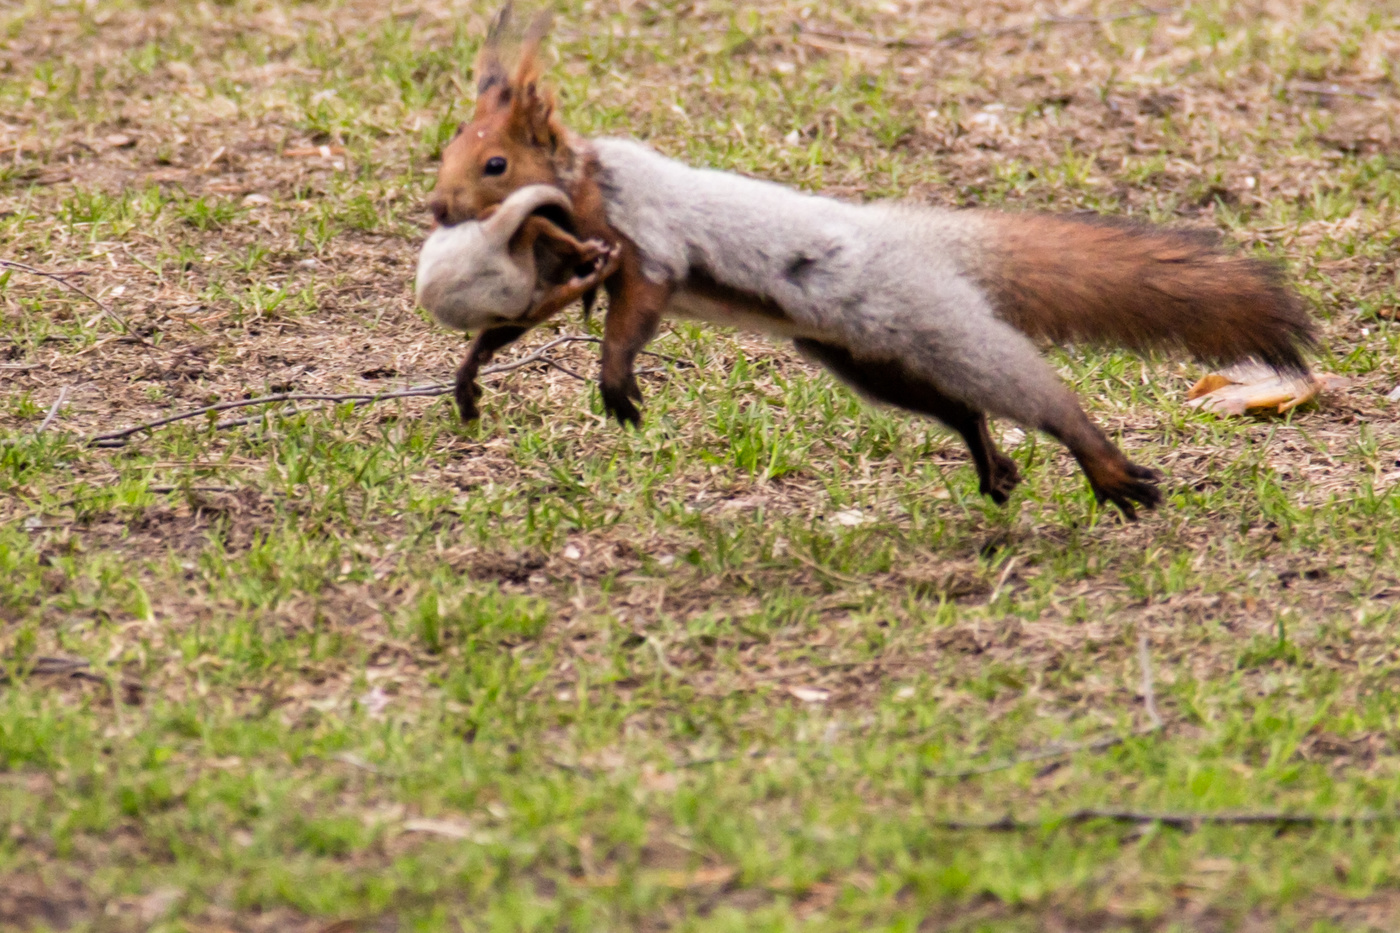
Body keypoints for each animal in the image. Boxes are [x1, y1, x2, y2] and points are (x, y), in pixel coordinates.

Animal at [414, 7, 1310, 515]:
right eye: (450, 148)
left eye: (495, 164)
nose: (440, 208)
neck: (578, 194)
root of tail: (917, 241)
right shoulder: (560, 265)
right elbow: (519, 323)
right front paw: (469, 377)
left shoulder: (649, 237)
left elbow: (641, 303)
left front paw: (615, 381)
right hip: (863, 360)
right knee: (957, 409)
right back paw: (994, 466)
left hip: (928, 322)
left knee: (1029, 392)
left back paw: (1108, 468)